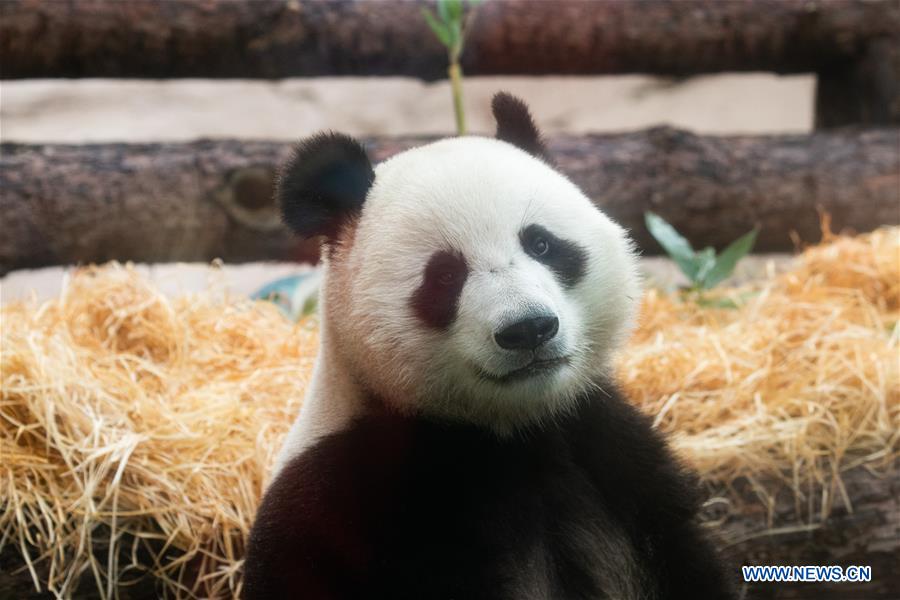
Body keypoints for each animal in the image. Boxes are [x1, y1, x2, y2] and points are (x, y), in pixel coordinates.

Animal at [243, 93, 735, 600]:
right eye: (444, 275)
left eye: (541, 243)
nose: (529, 328)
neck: (509, 429)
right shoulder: (354, 495)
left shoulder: (608, 450)